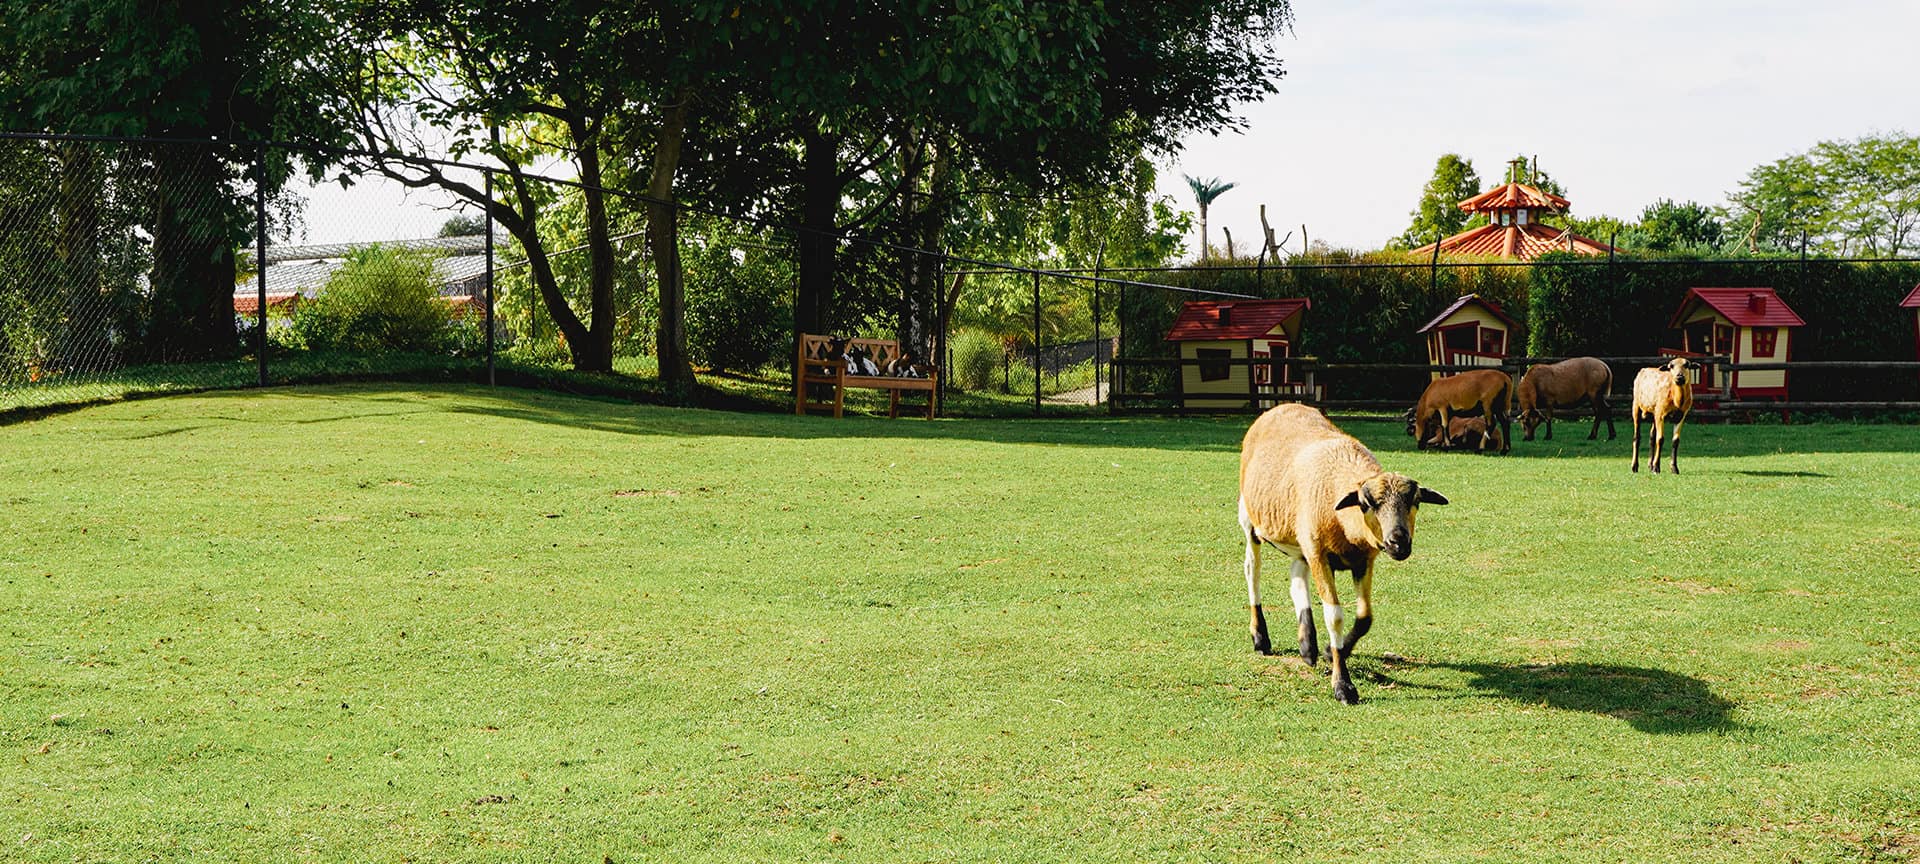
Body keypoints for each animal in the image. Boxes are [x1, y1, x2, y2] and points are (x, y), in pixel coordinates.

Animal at [1236, 403, 1443, 702]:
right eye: (1367, 503)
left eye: (1415, 501)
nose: (1398, 543)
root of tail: (1281, 406)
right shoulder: (1320, 555)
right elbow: (1334, 616)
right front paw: (1343, 685)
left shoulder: (1362, 561)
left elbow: (1365, 617)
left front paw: (1330, 652)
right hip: (1250, 520)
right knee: (1253, 571)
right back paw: (1261, 637)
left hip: (1301, 542)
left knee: (1296, 578)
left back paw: (1307, 646)